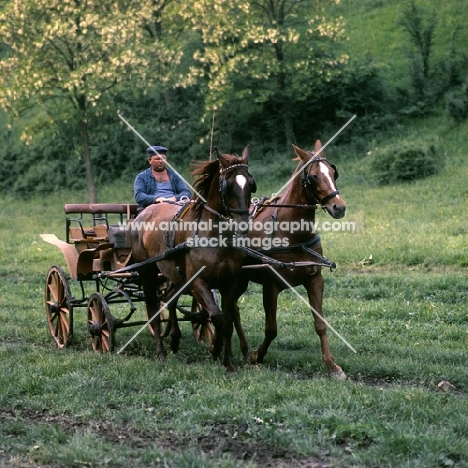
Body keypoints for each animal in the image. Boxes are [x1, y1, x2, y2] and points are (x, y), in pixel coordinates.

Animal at [130, 147, 256, 372]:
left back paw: (174, 339)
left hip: (177, 276)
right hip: (148, 271)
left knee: (169, 298)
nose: (243, 224)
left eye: (251, 184)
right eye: (227, 185)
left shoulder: (229, 282)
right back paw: (161, 352)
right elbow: (218, 317)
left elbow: (228, 319)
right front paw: (218, 353)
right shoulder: (197, 281)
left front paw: (228, 361)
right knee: (154, 308)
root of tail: (145, 212)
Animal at [234, 141, 348, 378]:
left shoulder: (315, 279)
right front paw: (258, 355)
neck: (294, 234)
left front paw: (332, 366)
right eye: (313, 176)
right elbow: (271, 329)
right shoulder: (271, 285)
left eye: (333, 172)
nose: (339, 207)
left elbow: (320, 323)